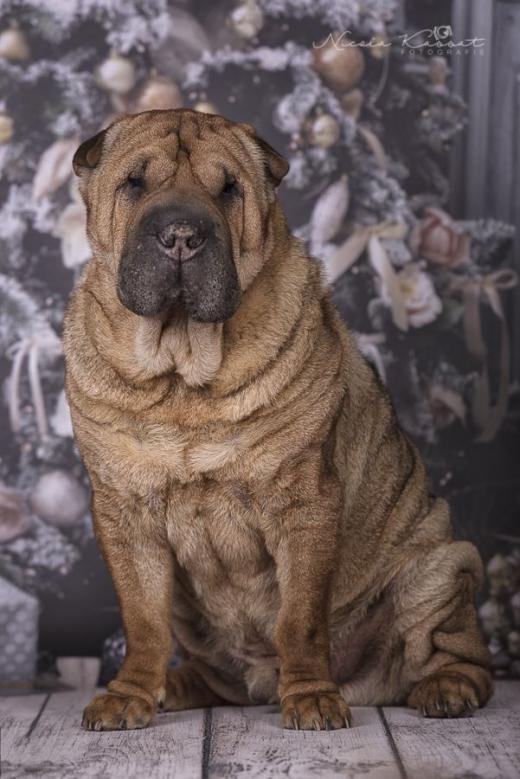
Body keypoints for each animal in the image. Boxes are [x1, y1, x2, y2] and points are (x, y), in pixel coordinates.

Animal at [63, 109, 492, 731]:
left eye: (228, 190)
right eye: (135, 184)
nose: (181, 235)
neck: (182, 372)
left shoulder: (305, 502)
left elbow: (300, 618)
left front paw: (312, 697)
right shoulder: (124, 512)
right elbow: (143, 620)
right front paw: (129, 696)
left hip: (440, 568)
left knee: (457, 653)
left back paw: (445, 690)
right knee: (210, 674)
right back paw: (177, 687)